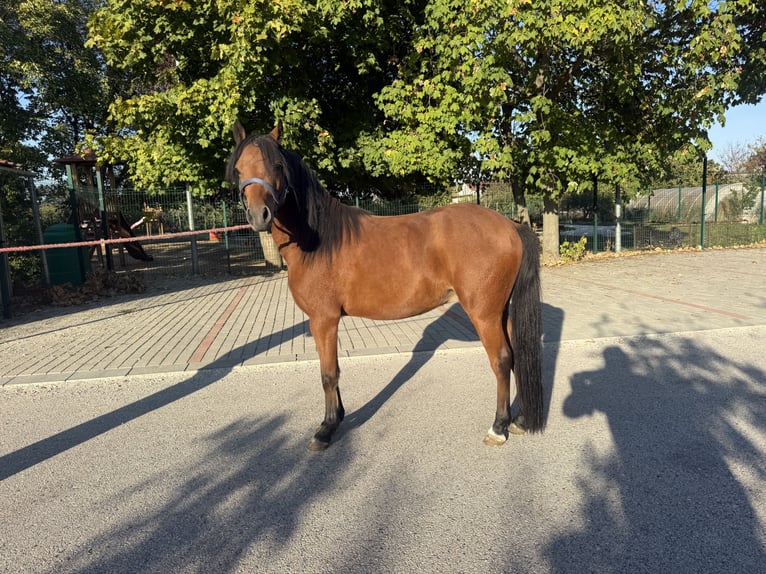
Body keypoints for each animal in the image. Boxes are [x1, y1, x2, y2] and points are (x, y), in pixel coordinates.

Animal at [227, 122, 544, 451]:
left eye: (277, 166)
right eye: (238, 169)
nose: (258, 215)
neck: (318, 241)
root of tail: (511, 226)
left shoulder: (323, 320)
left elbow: (328, 373)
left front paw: (325, 429)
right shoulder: (326, 322)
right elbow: (334, 370)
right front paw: (338, 417)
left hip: (484, 314)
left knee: (501, 360)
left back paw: (498, 427)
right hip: (501, 311)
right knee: (516, 356)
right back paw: (519, 421)